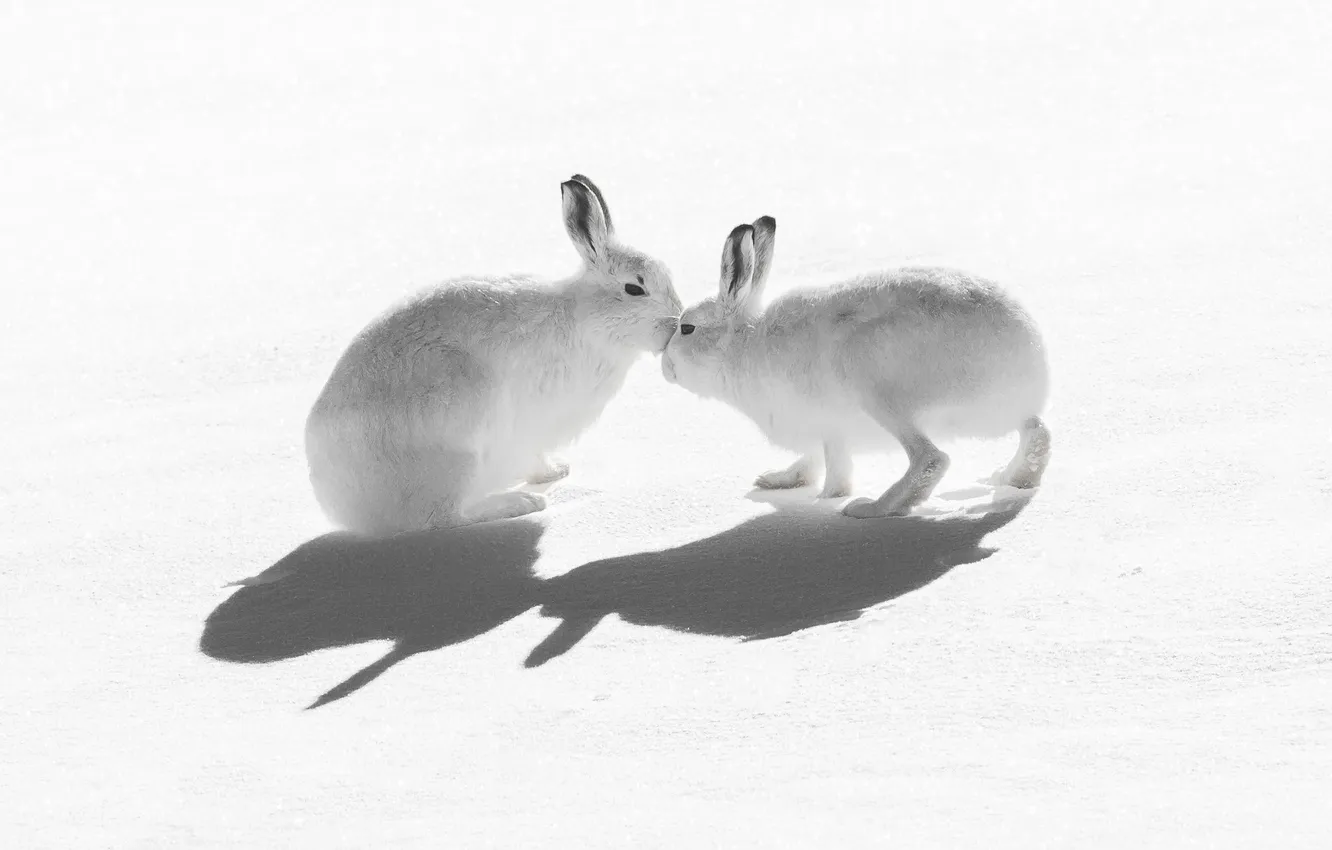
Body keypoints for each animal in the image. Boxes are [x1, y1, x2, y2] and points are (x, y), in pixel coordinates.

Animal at [305, 175, 683, 536]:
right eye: (634, 288)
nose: (676, 323)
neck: (585, 320)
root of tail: (341, 502)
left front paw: (558, 471)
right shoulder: (531, 426)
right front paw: (552, 475)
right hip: (461, 443)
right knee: (441, 517)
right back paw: (521, 503)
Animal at [661, 216, 1051, 519]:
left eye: (687, 328)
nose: (666, 367)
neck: (743, 343)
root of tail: (1028, 364)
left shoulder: (827, 423)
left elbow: (835, 472)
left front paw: (828, 500)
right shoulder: (822, 430)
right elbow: (811, 461)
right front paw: (775, 481)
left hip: (879, 392)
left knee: (931, 459)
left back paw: (872, 508)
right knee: (1036, 432)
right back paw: (1012, 479)